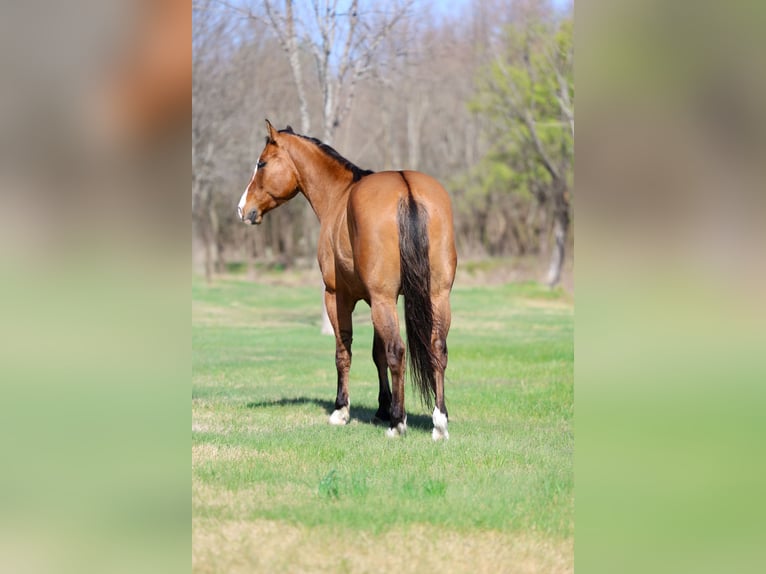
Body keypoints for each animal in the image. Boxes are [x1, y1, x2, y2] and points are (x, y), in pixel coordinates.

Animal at [237, 120, 457, 440]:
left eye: (262, 163)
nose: (243, 209)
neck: (339, 196)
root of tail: (406, 188)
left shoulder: (338, 296)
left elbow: (345, 351)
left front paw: (342, 410)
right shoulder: (379, 299)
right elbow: (377, 353)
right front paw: (382, 407)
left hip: (383, 300)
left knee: (397, 350)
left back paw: (397, 423)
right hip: (436, 296)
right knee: (437, 348)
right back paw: (438, 421)